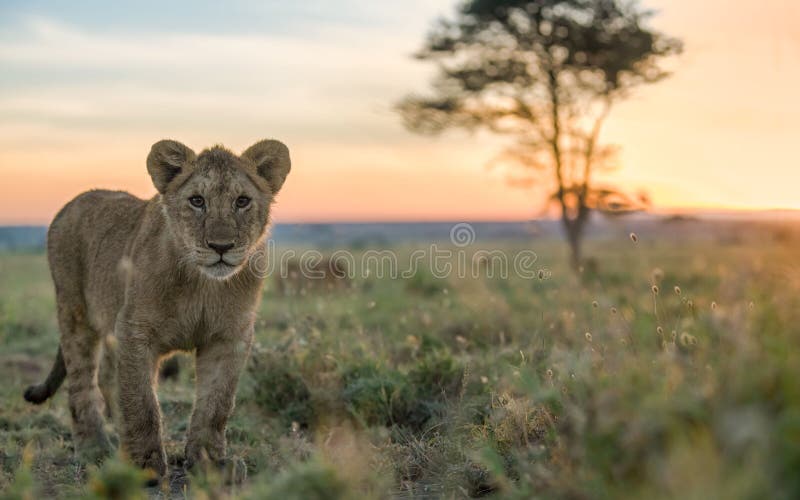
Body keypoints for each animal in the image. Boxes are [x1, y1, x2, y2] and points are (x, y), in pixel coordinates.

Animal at [23, 139, 291, 479]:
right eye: (197, 201)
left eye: (242, 201)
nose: (221, 246)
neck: (201, 284)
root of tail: (73, 203)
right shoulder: (135, 331)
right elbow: (141, 401)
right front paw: (143, 466)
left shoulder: (229, 338)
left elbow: (216, 404)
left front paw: (210, 463)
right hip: (75, 313)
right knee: (82, 383)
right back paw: (95, 449)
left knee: (108, 377)